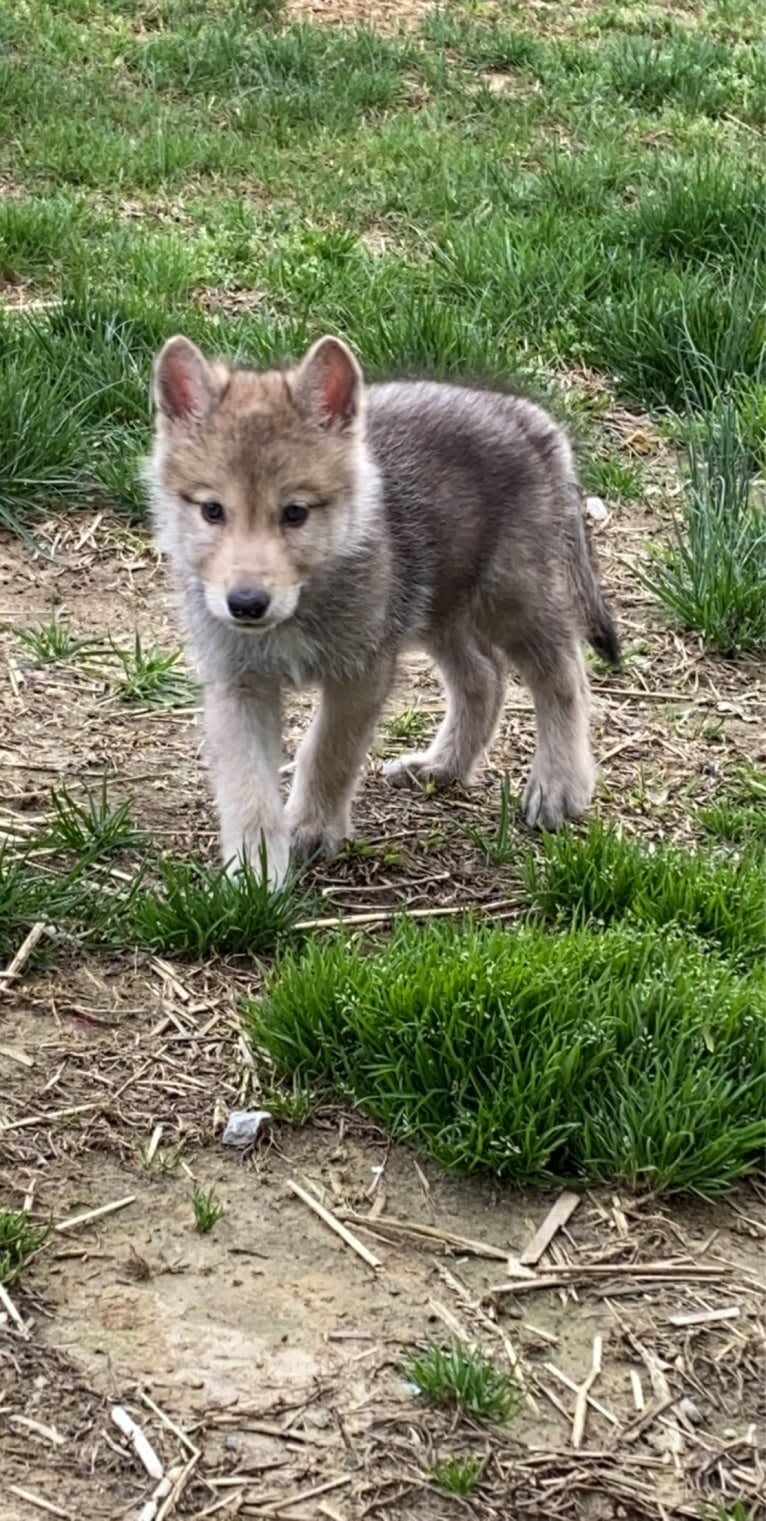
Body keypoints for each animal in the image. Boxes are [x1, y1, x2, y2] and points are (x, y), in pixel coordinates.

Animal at [146, 331, 620, 882]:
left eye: (295, 513)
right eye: (212, 511)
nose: (246, 604)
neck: (304, 603)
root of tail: (527, 418)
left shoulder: (361, 673)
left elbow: (327, 751)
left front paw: (311, 827)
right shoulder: (238, 684)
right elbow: (248, 788)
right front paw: (254, 875)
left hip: (511, 600)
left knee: (563, 676)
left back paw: (560, 785)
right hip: (438, 608)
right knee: (484, 678)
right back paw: (442, 766)